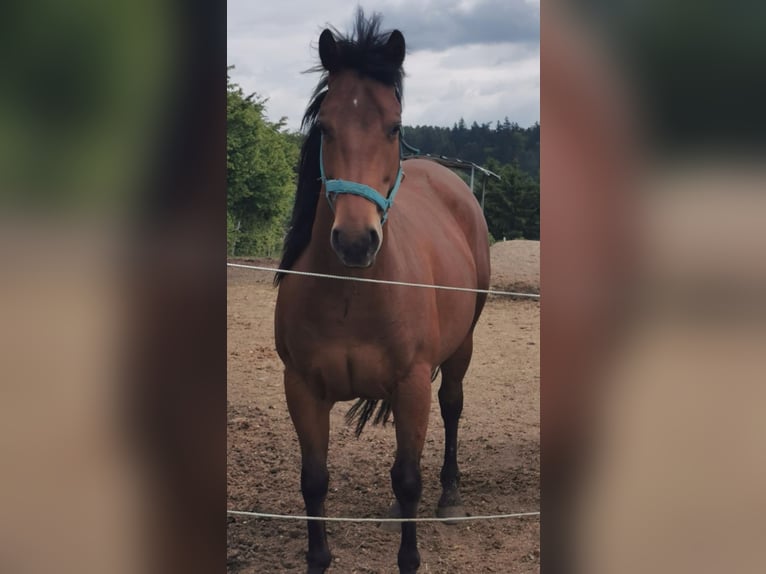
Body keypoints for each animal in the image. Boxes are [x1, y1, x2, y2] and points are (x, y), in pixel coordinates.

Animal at [274, 10, 490, 573]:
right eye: (325, 127)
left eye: (394, 126)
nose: (355, 240)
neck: (351, 293)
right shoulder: (302, 389)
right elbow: (314, 482)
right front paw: (318, 558)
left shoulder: (413, 384)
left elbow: (409, 478)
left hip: (461, 347)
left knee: (452, 406)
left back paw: (450, 495)